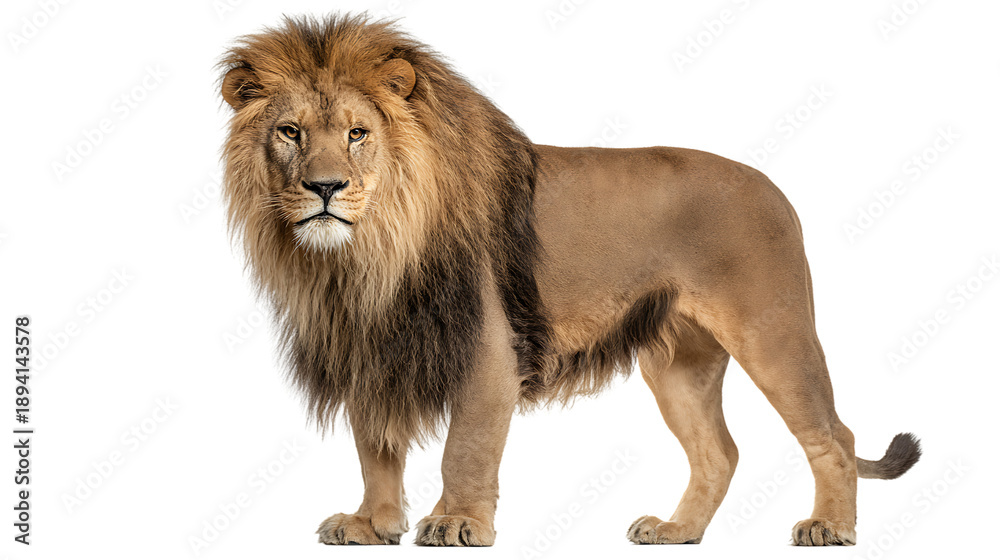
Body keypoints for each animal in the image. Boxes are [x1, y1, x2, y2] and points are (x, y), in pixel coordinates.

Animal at [218, 14, 921, 547]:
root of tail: (775, 187)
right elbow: (374, 447)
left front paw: (455, 523)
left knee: (834, 435)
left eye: (358, 133)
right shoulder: (369, 344)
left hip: (772, 330)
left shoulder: (487, 349)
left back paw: (829, 527)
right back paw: (677, 531)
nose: (325, 188)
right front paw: (372, 524)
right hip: (679, 362)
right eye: (290, 132)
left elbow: (465, 447)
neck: (364, 258)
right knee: (719, 452)